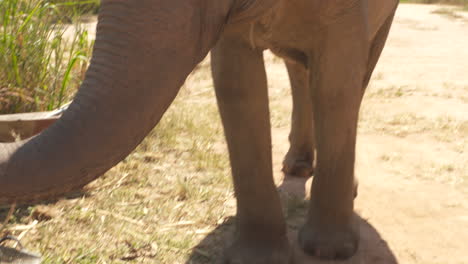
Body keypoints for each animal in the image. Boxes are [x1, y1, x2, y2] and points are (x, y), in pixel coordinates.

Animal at [0, 0, 398, 262]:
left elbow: (336, 85)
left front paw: (329, 251)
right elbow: (237, 85)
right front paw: (255, 259)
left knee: (355, 72)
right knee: (298, 69)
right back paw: (297, 167)